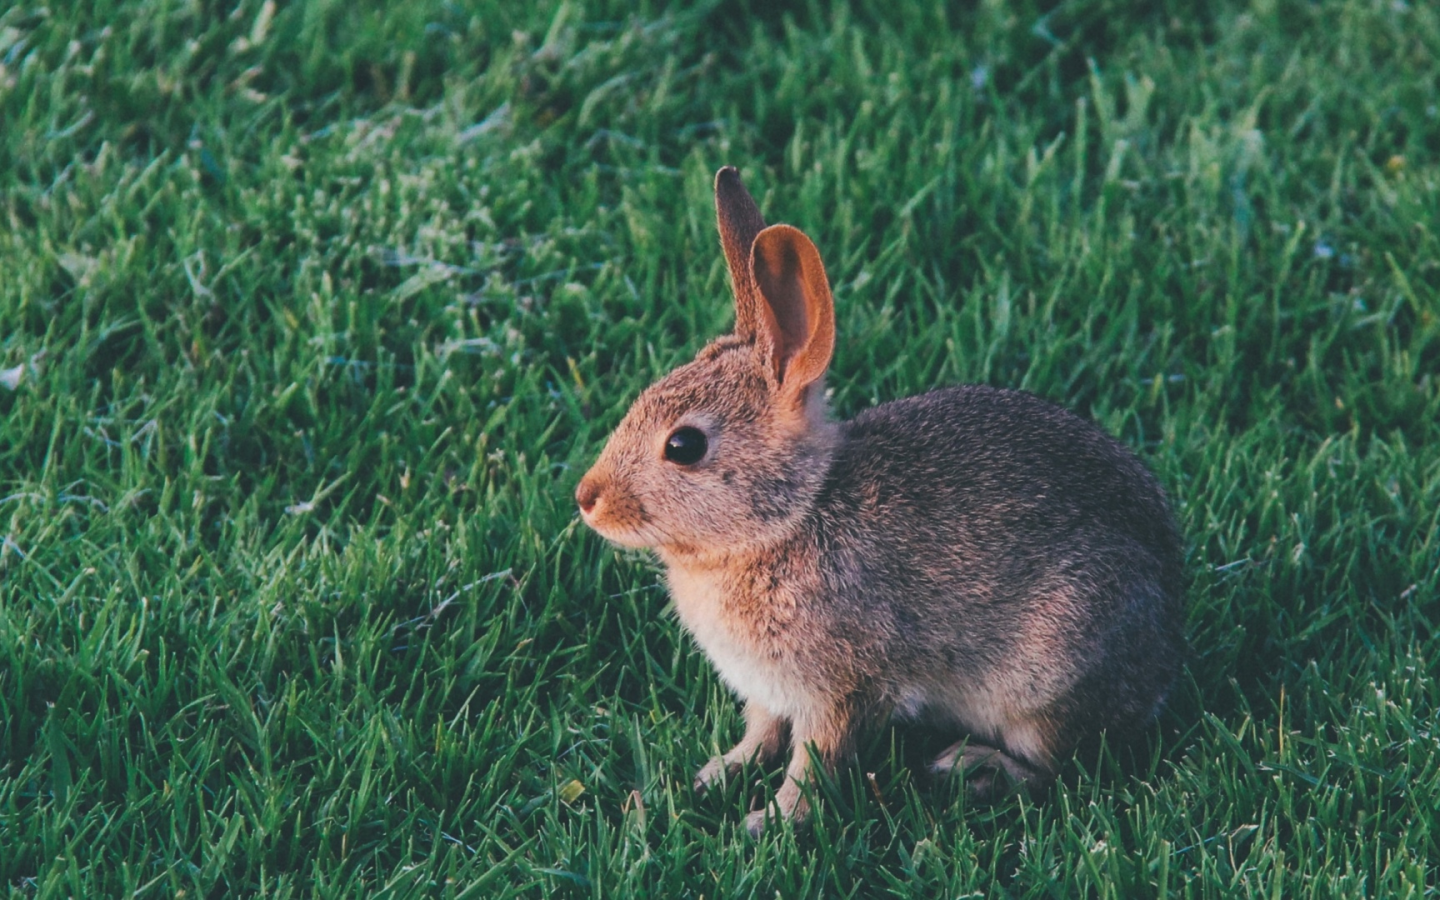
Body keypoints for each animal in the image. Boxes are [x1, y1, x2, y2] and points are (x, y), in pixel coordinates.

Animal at [570, 164, 1180, 829]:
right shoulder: (768, 690)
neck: (790, 518)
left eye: (684, 446)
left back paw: (970, 767)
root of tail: (1168, 638)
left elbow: (814, 762)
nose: (587, 498)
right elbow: (759, 735)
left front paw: (769, 822)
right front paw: (713, 776)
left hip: (1047, 681)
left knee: (1056, 767)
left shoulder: (839, 689)